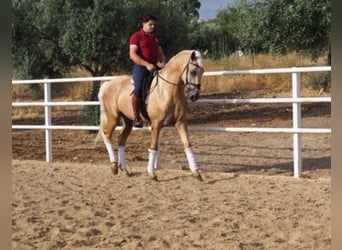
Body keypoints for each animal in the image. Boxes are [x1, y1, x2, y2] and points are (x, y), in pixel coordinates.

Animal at [97, 49, 207, 181]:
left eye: (203, 71)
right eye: (193, 71)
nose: (194, 96)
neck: (167, 91)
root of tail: (107, 84)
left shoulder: (180, 123)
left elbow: (188, 145)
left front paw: (196, 173)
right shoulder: (156, 124)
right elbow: (153, 147)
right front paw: (151, 173)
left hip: (128, 121)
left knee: (121, 140)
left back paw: (124, 170)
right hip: (112, 117)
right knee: (107, 135)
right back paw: (114, 167)